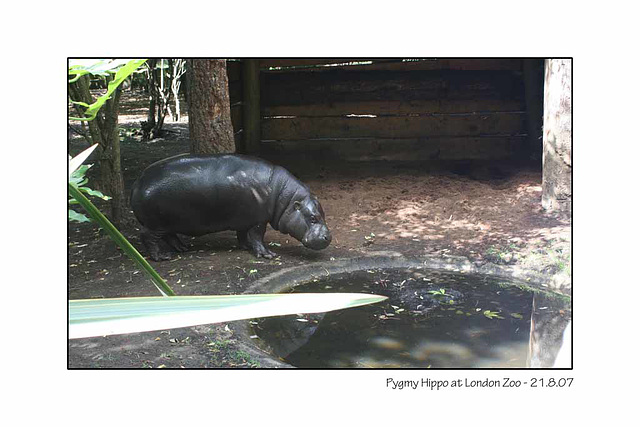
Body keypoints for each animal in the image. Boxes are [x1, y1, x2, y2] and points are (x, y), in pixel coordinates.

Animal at [128, 154, 332, 260]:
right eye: (313, 218)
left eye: (323, 213)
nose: (328, 237)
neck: (286, 199)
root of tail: (138, 182)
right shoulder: (259, 220)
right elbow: (258, 236)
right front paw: (268, 255)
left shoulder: (245, 219)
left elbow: (243, 235)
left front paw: (245, 247)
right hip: (156, 223)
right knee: (147, 237)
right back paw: (163, 257)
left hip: (168, 222)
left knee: (170, 236)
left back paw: (183, 248)